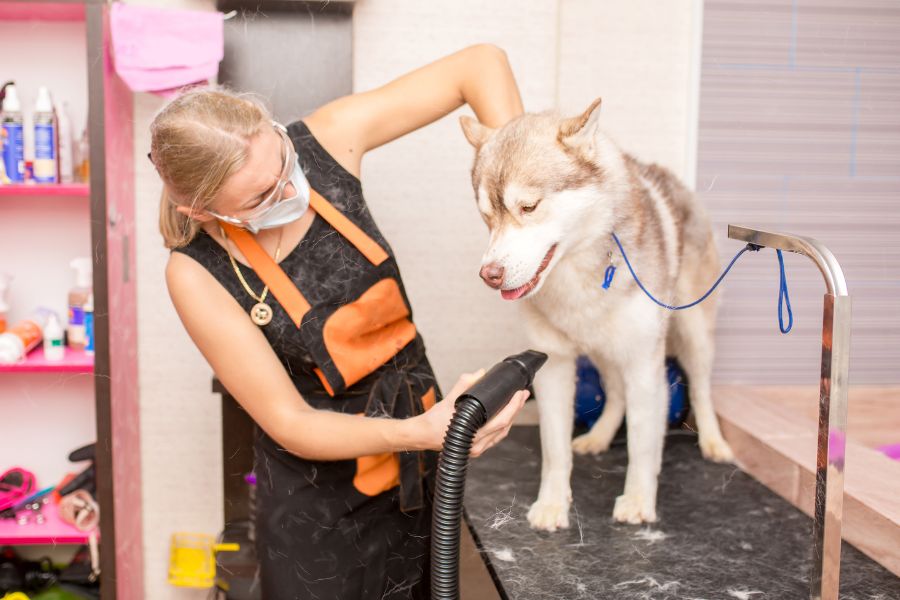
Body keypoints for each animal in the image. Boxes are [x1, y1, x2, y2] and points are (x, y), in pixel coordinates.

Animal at [460, 98, 736, 528]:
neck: (577, 275)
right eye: (487, 216)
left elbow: (642, 442)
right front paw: (553, 503)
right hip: (603, 350)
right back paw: (600, 436)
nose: (490, 275)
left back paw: (712, 441)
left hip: (692, 332)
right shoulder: (553, 364)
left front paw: (638, 499)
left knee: (702, 389)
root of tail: (670, 177)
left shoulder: (644, 365)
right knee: (616, 393)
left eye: (529, 206)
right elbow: (554, 448)